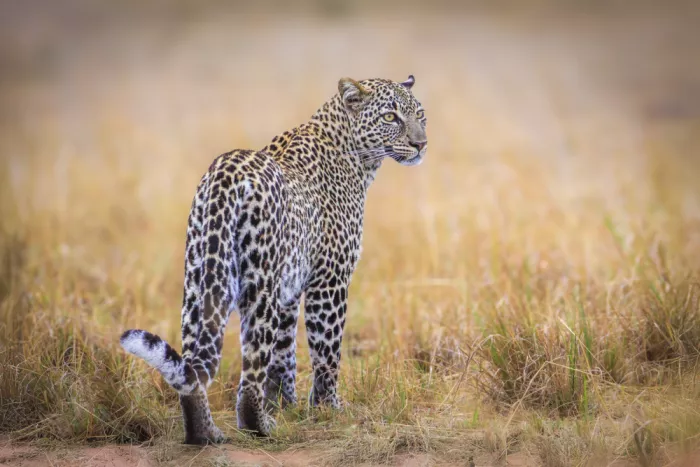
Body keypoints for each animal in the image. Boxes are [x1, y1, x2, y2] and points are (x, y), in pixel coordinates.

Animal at [120, 75, 427, 444]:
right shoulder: (329, 280)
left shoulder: (289, 289)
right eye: (390, 117)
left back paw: (205, 434)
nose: (421, 144)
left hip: (200, 276)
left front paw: (286, 404)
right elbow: (327, 351)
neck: (357, 159)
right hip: (259, 283)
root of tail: (225, 175)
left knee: (195, 365)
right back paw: (260, 426)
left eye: (420, 114)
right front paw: (328, 409)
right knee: (251, 371)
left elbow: (284, 354)